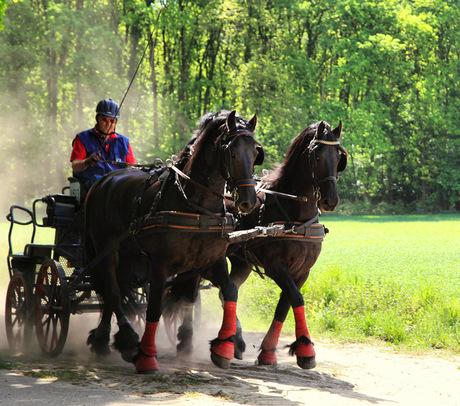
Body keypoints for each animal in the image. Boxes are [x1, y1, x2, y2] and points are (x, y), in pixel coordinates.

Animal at [82, 109, 262, 372]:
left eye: (256, 152)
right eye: (232, 152)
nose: (249, 201)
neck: (195, 207)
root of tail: (103, 180)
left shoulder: (210, 262)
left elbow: (228, 292)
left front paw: (224, 347)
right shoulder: (160, 265)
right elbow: (155, 306)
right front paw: (147, 357)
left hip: (130, 256)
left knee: (116, 288)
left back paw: (105, 340)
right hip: (106, 249)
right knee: (112, 289)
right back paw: (126, 339)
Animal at [228, 119, 346, 368]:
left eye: (339, 156)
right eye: (317, 155)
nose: (330, 201)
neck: (296, 216)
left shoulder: (302, 271)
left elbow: (284, 305)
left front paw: (268, 351)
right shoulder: (276, 266)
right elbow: (296, 298)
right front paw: (305, 348)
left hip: (241, 263)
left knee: (228, 288)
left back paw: (236, 340)